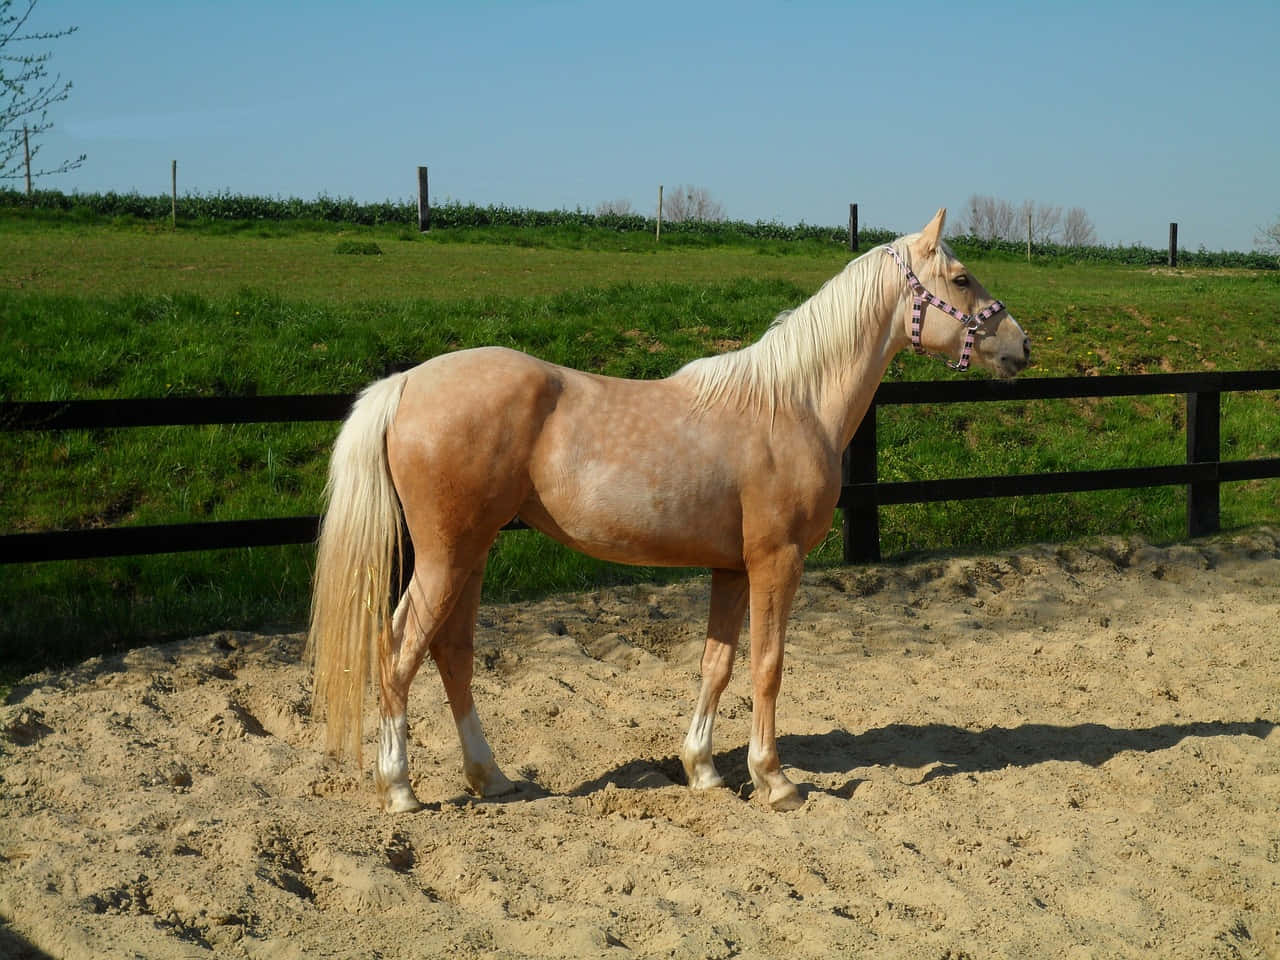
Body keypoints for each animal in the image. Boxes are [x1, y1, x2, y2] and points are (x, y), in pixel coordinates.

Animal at [306, 208, 1030, 813]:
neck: (792, 403)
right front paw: (775, 781)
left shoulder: (732, 569)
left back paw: (493, 777)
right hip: (446, 555)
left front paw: (703, 770)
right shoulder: (777, 562)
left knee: (451, 651)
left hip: (472, 552)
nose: (1021, 347)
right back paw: (400, 788)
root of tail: (405, 384)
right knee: (399, 650)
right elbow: (768, 665)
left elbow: (719, 664)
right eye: (961, 278)